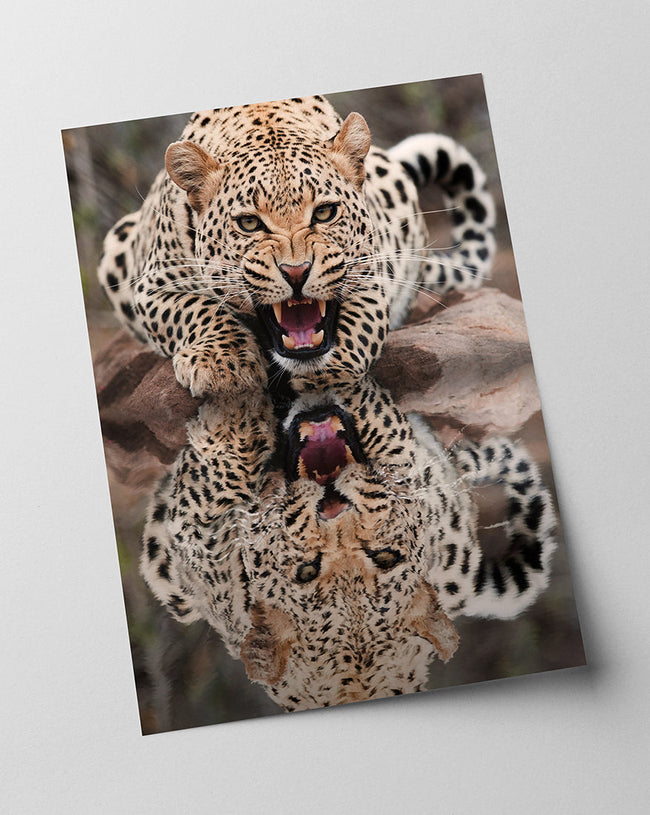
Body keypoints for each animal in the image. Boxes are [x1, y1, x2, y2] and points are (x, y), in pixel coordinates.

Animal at [98, 95, 495, 396]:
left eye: (324, 212)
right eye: (249, 223)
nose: (296, 272)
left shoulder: (371, 274)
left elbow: (359, 325)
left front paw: (331, 371)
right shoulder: (153, 286)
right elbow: (196, 309)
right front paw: (223, 365)